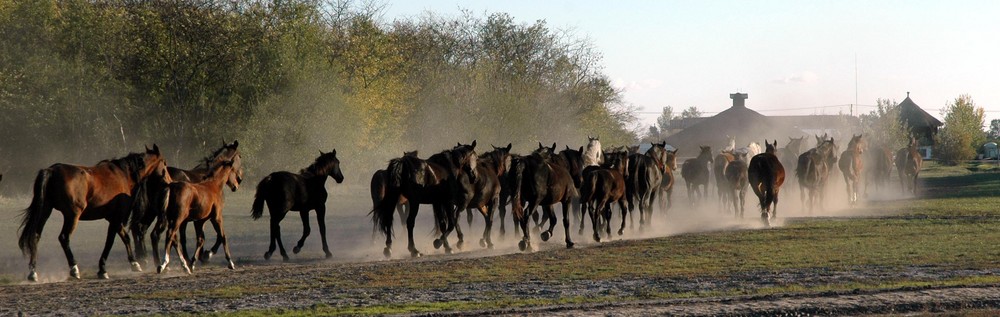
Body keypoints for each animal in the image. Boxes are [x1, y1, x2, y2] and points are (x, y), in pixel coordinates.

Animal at [16, 144, 169, 280]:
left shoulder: (114, 218)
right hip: (72, 215)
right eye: (164, 163)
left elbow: (125, 237)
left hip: (45, 211)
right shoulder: (116, 218)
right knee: (64, 238)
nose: (168, 180)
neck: (124, 174)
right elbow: (110, 242)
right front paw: (102, 269)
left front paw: (134, 263)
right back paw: (74, 268)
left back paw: (33, 272)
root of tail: (51, 170)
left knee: (36, 236)